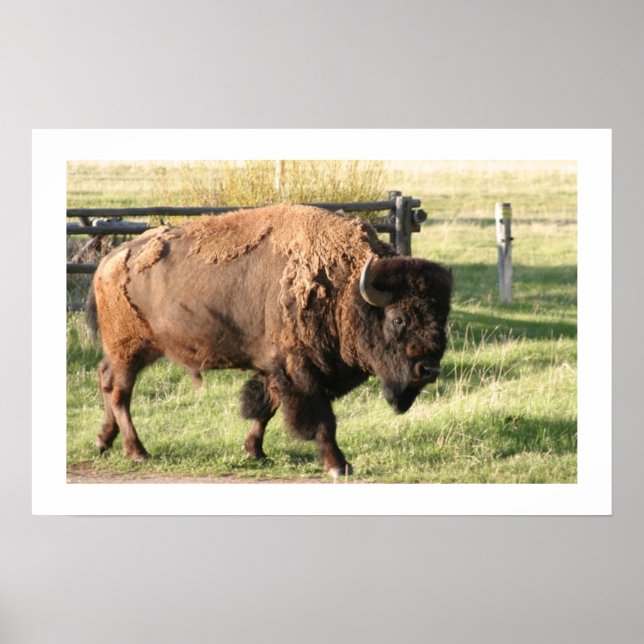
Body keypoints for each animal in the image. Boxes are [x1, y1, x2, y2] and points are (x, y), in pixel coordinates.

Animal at [86, 204, 452, 477]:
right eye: (399, 318)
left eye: (442, 317)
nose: (428, 370)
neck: (345, 290)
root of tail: (108, 262)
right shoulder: (299, 370)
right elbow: (322, 420)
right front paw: (339, 465)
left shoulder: (275, 368)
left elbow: (266, 408)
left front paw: (254, 452)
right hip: (129, 349)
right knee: (120, 393)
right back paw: (137, 452)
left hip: (140, 349)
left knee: (106, 381)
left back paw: (103, 442)